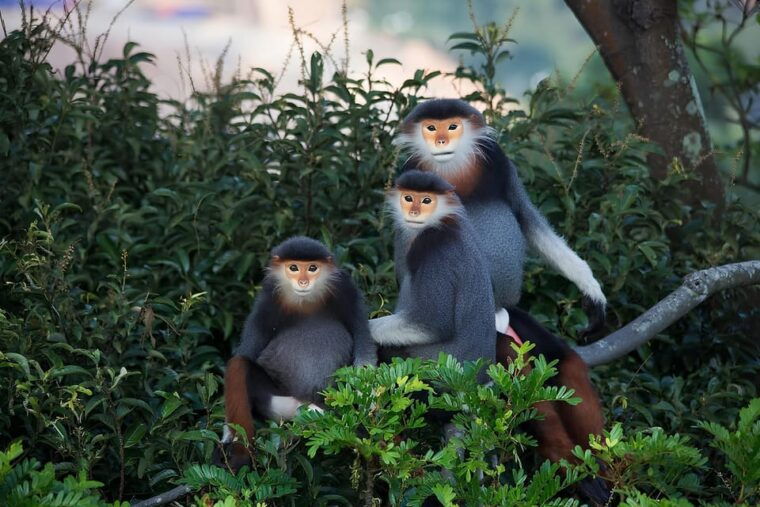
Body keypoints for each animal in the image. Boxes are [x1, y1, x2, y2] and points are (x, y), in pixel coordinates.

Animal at [216, 236, 376, 471]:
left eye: (312, 268)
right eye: (293, 268)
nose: (303, 282)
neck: (306, 302)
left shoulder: (346, 289)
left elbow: (363, 346)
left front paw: (370, 407)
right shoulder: (267, 300)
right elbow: (247, 351)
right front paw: (228, 437)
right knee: (239, 364)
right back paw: (239, 454)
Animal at [369, 169, 496, 383]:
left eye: (427, 200)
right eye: (408, 198)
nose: (414, 212)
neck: (442, 221)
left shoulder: (433, 248)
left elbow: (432, 324)